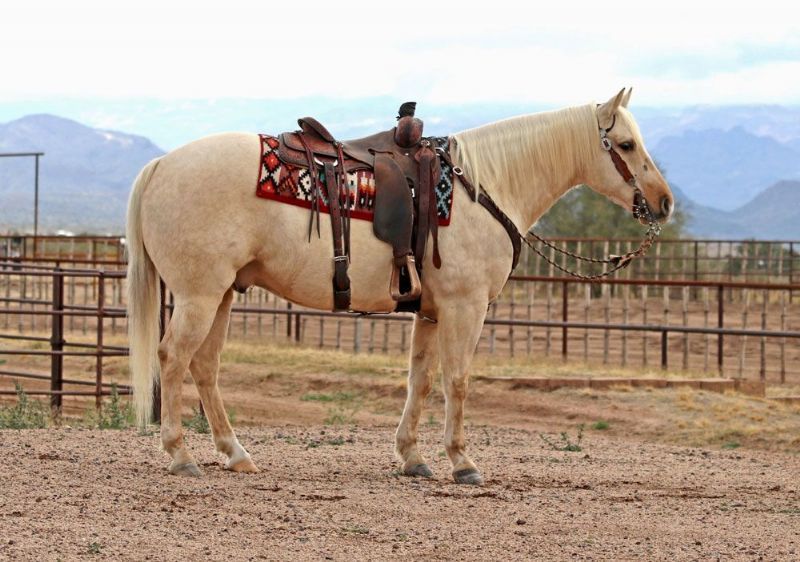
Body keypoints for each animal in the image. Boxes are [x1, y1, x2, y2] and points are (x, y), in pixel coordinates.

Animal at [126, 88, 672, 484]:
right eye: (626, 145)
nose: (664, 202)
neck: (482, 188)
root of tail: (161, 166)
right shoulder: (465, 307)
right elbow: (457, 381)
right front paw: (463, 463)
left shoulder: (430, 311)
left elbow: (421, 381)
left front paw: (412, 457)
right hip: (199, 296)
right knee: (174, 357)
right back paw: (180, 455)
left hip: (220, 295)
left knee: (205, 366)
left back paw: (235, 453)